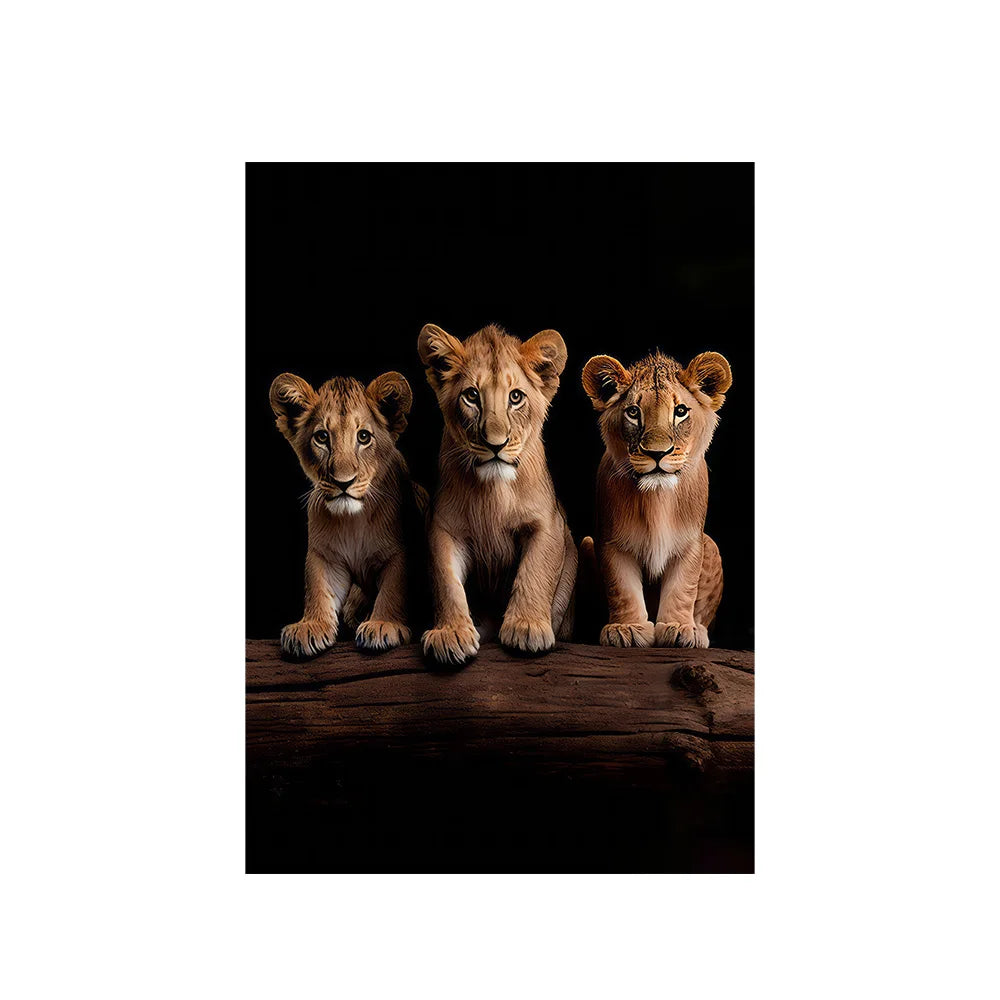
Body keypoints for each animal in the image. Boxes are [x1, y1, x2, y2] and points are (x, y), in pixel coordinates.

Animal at [269, 370, 427, 657]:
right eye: (322, 437)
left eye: (363, 437)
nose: (344, 482)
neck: (353, 520)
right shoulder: (325, 557)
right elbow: (318, 588)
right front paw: (310, 626)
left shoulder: (399, 552)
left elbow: (393, 588)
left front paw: (382, 624)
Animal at [417, 323, 578, 666]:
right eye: (471, 396)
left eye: (515, 397)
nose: (496, 444)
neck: (492, 493)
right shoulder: (442, 526)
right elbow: (445, 580)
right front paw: (451, 633)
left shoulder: (550, 522)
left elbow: (535, 571)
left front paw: (527, 627)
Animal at [581, 350, 732, 648]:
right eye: (633, 412)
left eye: (681, 411)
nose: (657, 453)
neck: (657, 498)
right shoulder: (611, 542)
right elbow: (621, 587)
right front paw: (626, 628)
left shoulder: (691, 543)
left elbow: (683, 587)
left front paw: (679, 627)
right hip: (586, 542)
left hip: (711, 545)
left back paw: (699, 630)